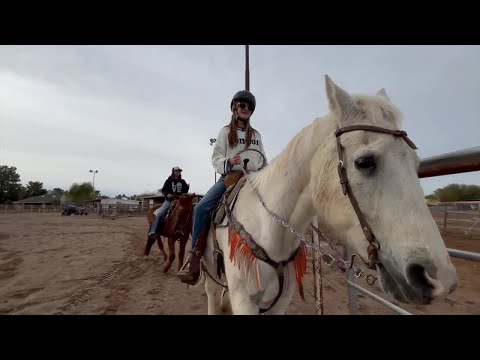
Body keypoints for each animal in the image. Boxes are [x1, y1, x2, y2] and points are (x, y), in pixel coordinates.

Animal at [198, 74, 458, 314]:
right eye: (365, 162)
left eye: (416, 163)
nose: (439, 278)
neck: (267, 229)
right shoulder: (243, 300)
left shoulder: (280, 301)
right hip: (210, 275)